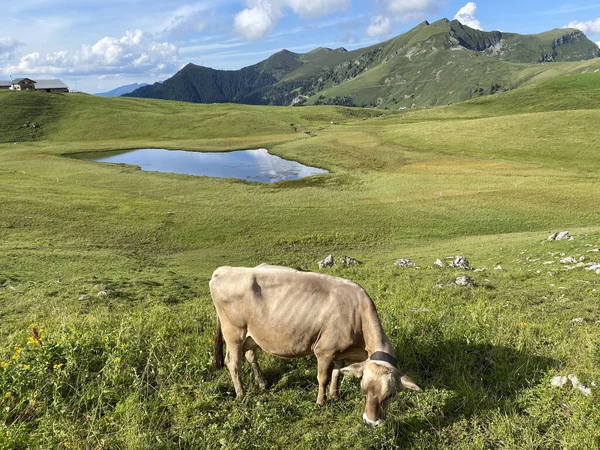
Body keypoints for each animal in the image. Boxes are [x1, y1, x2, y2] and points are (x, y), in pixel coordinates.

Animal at [211, 264, 422, 426]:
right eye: (363, 390)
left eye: (390, 395)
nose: (371, 423)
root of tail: (223, 270)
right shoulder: (324, 350)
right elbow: (323, 378)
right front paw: (321, 402)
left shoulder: (340, 352)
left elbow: (337, 373)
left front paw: (335, 395)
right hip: (234, 333)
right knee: (233, 363)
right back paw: (241, 393)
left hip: (251, 335)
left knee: (250, 355)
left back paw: (262, 382)